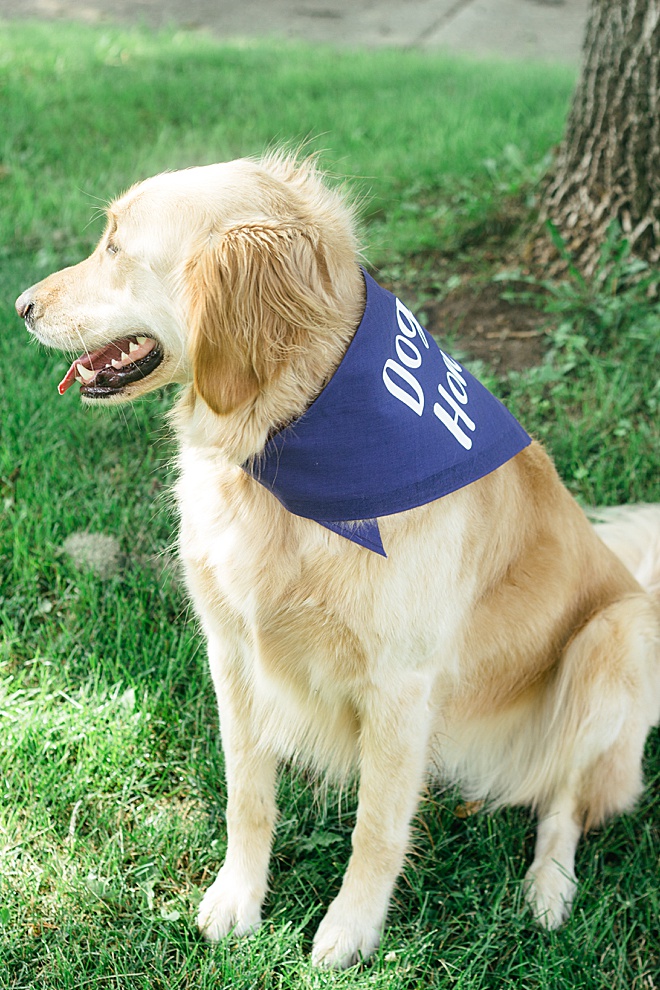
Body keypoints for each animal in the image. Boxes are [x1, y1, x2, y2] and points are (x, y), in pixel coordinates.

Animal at [15, 155, 660, 968]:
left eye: (117, 248)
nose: (20, 305)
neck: (285, 442)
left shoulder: (400, 686)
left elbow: (377, 829)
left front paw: (350, 932)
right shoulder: (232, 650)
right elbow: (247, 792)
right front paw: (238, 899)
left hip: (613, 641)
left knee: (566, 803)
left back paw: (549, 889)